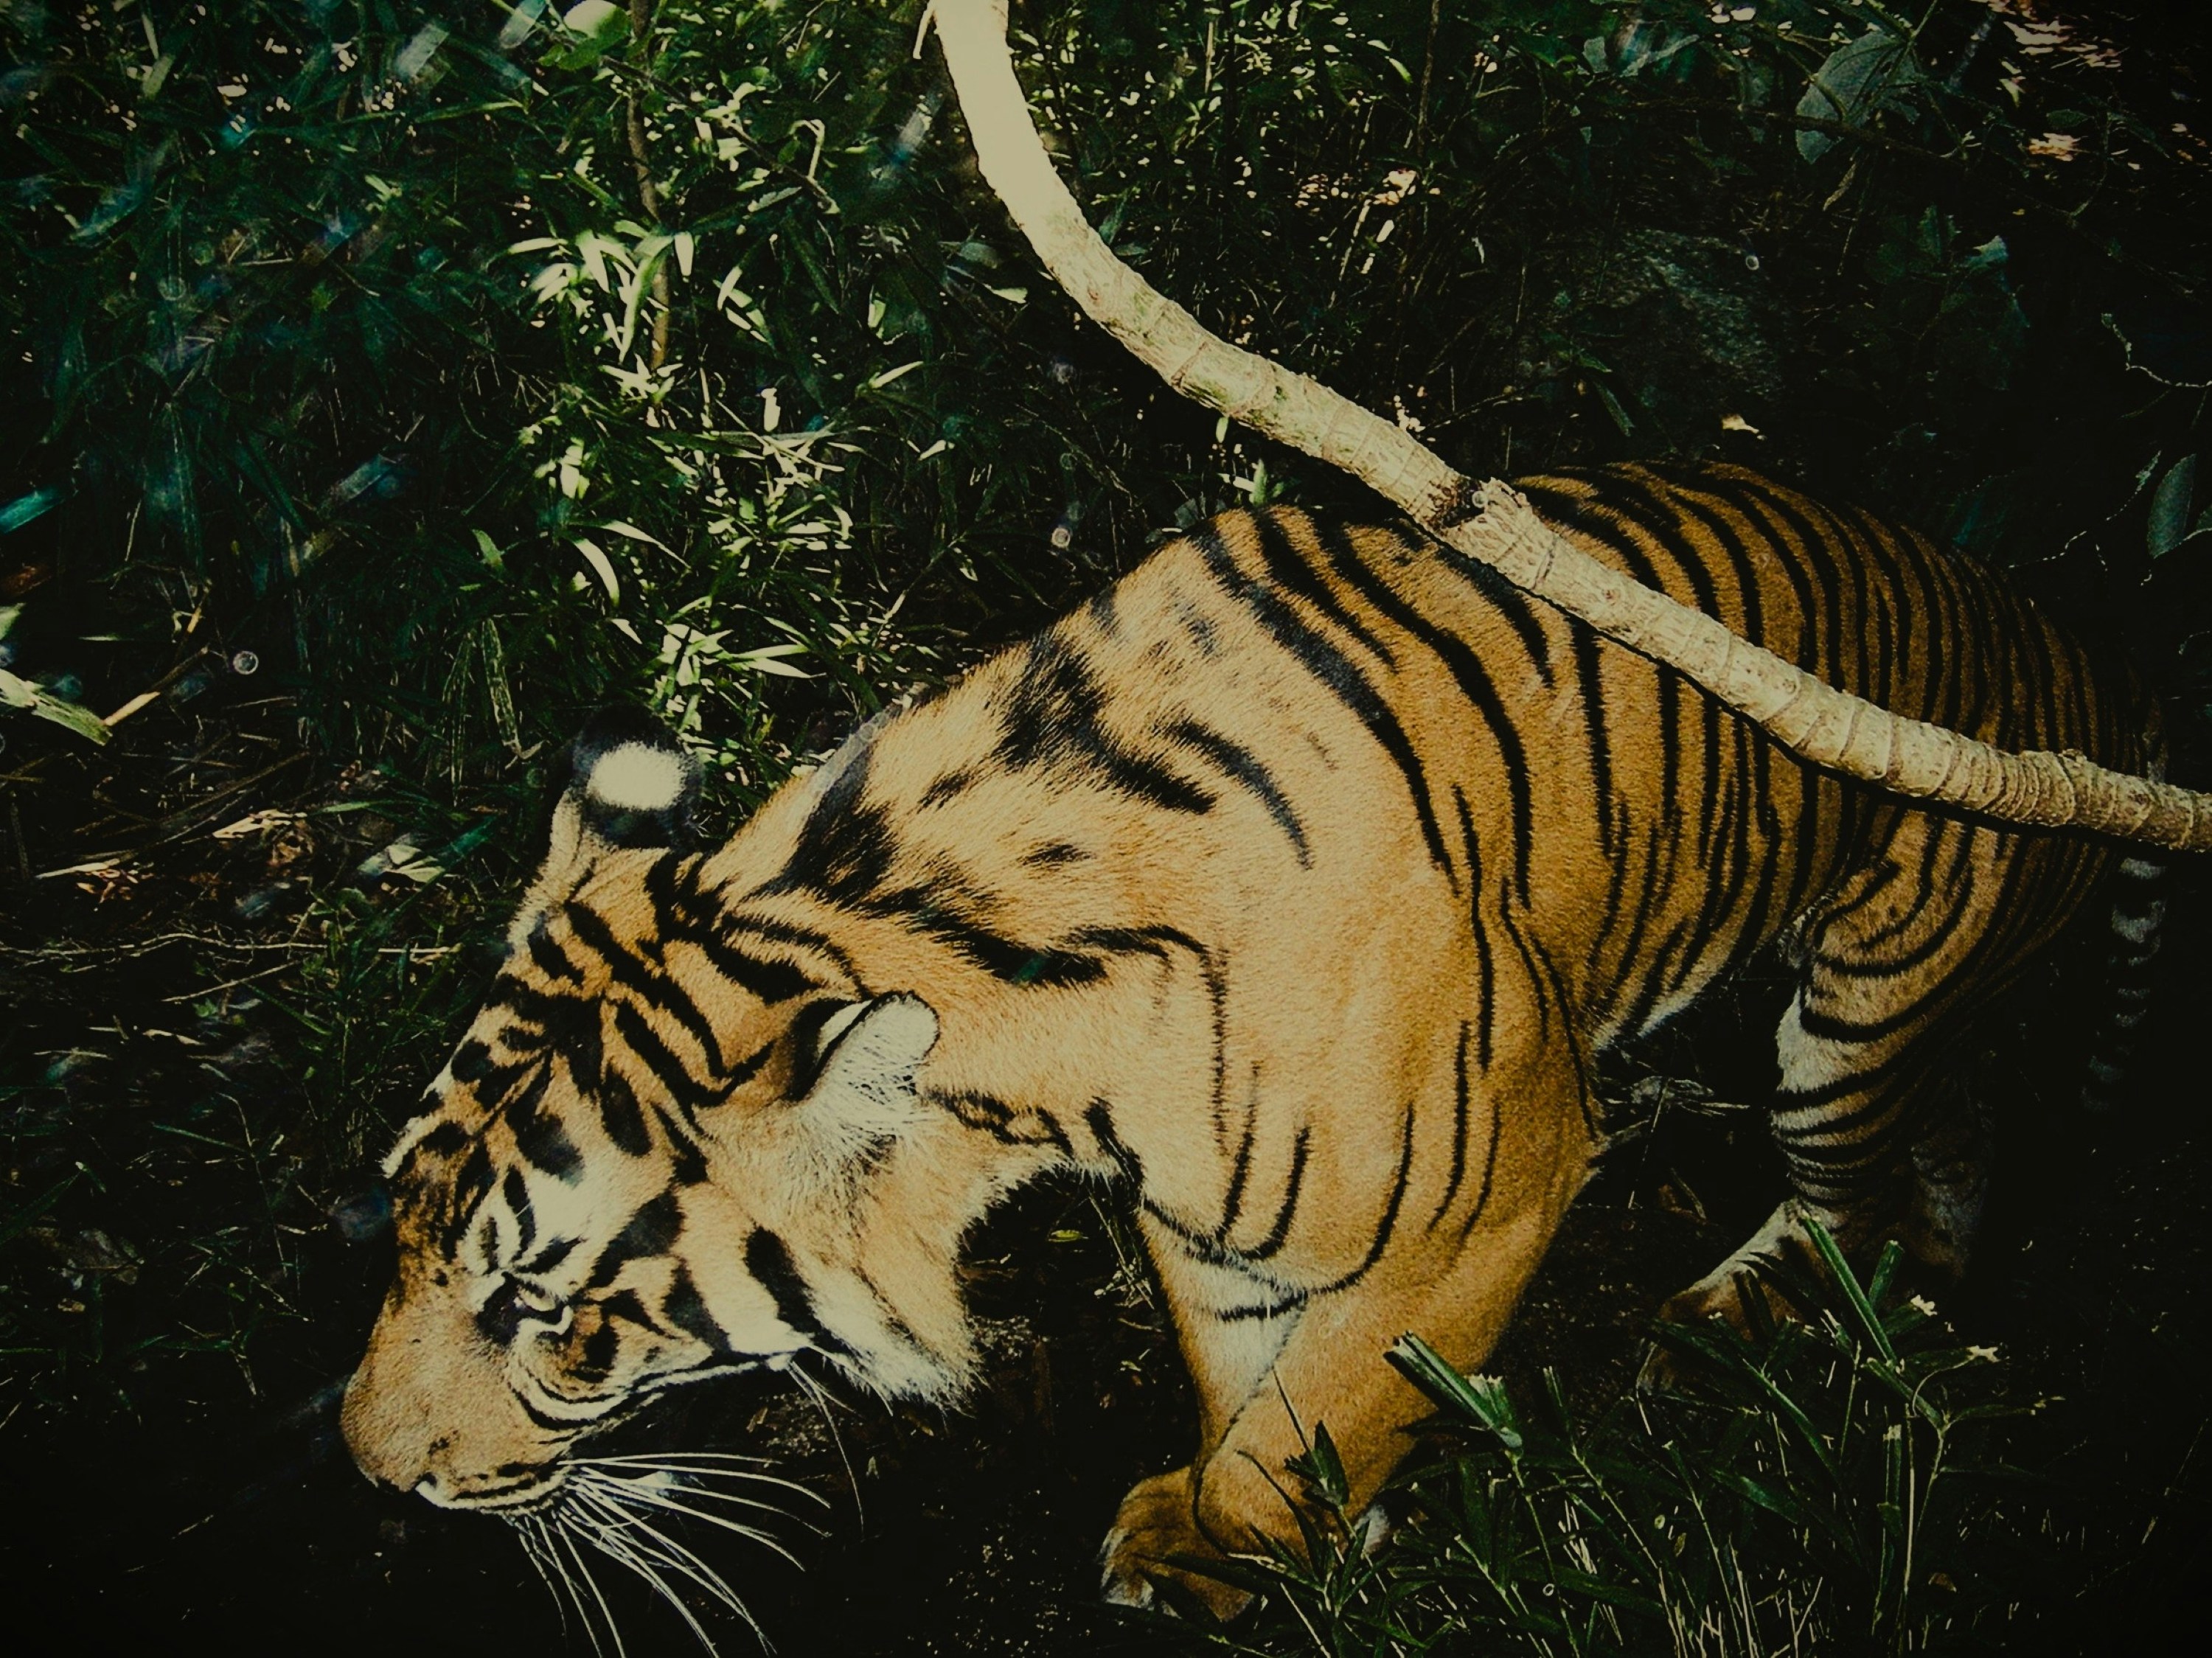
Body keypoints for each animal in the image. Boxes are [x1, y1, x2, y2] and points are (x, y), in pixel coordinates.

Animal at [341, 459, 2158, 1619]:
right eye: (396, 1230)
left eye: (547, 1316)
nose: (369, 1473)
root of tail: (2074, 646)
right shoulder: (1204, 1212)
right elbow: (1244, 1373)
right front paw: (1203, 1529)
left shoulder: (1493, 1189)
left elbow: (1318, 1414)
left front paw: (1261, 1544)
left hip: (1850, 1003)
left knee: (1850, 1180)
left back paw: (1755, 1309)